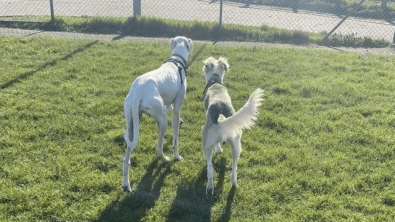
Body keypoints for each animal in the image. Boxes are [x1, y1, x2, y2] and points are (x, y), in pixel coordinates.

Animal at [122, 35, 193, 192]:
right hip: (162, 121)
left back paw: (126, 184)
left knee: (126, 158)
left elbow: (170, 108)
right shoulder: (177, 108)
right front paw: (177, 156)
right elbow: (175, 139)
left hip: (132, 123)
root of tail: (138, 90)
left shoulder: (168, 103)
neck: (176, 61)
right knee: (159, 148)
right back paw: (166, 159)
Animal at [203, 56, 264, 193]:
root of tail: (221, 118)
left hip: (207, 145)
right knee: (234, 168)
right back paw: (234, 184)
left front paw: (219, 149)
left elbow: (217, 146)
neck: (215, 82)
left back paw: (209, 187)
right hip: (236, 145)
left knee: (210, 168)